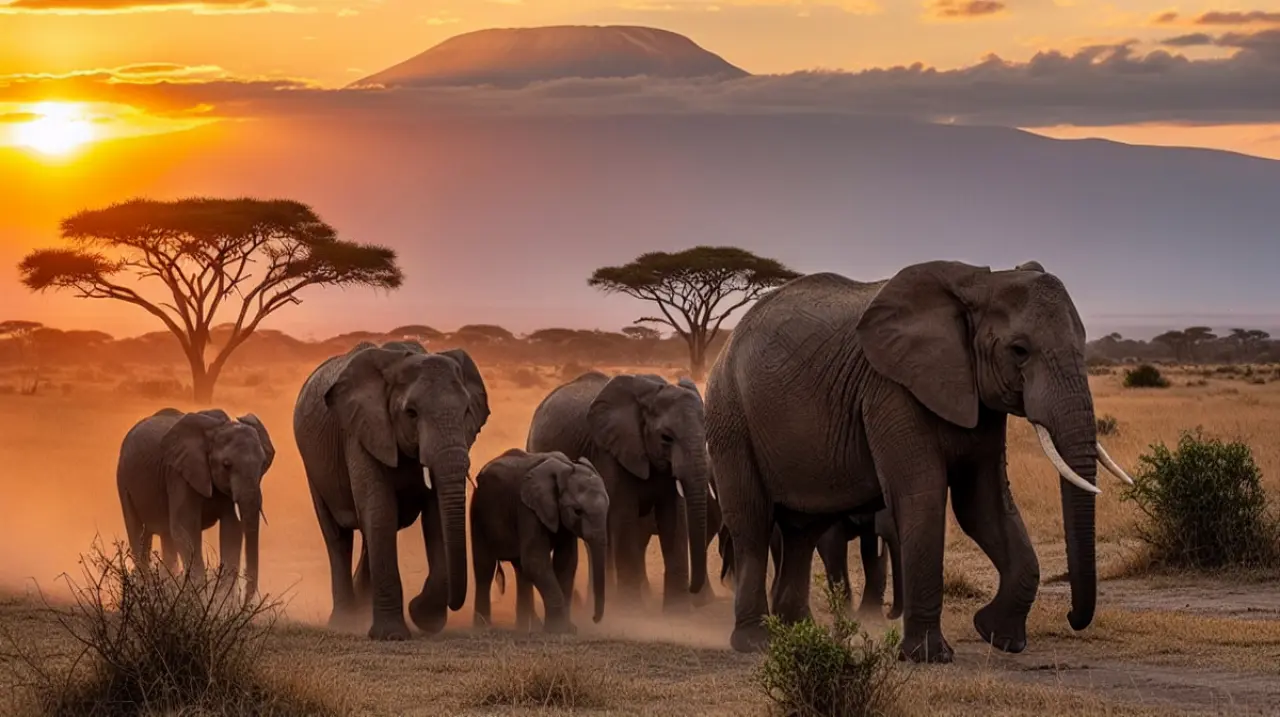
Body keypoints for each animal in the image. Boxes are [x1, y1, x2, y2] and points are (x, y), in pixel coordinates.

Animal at [116, 407, 275, 601]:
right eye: (226, 465)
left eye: (263, 464)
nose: (247, 602)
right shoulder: (179, 475)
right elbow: (185, 529)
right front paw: (201, 600)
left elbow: (232, 531)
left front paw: (222, 602)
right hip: (123, 479)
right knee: (136, 530)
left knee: (165, 536)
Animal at [293, 340, 490, 640]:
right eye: (411, 413)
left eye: (467, 411)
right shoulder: (362, 432)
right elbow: (381, 511)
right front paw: (392, 634)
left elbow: (434, 517)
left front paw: (424, 618)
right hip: (313, 465)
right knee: (338, 537)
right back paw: (345, 621)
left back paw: (362, 611)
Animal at [470, 448, 609, 633]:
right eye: (577, 511)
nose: (594, 619)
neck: (566, 466)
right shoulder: (527, 509)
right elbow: (536, 560)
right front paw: (557, 629)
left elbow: (566, 562)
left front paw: (567, 628)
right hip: (478, 511)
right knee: (484, 568)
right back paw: (483, 627)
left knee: (521, 570)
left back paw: (524, 628)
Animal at [526, 371, 710, 612]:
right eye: (666, 438)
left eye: (706, 434)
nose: (693, 589)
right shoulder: (610, 454)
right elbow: (625, 520)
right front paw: (632, 611)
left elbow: (675, 519)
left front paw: (677, 615)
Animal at [704, 260, 1135, 661]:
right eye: (1019, 350)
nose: (1072, 618)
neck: (981, 282)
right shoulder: (890, 390)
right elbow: (922, 497)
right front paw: (930, 656)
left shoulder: (976, 396)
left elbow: (984, 506)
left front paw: (998, 636)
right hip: (730, 417)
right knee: (753, 523)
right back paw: (756, 642)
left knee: (802, 531)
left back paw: (799, 634)